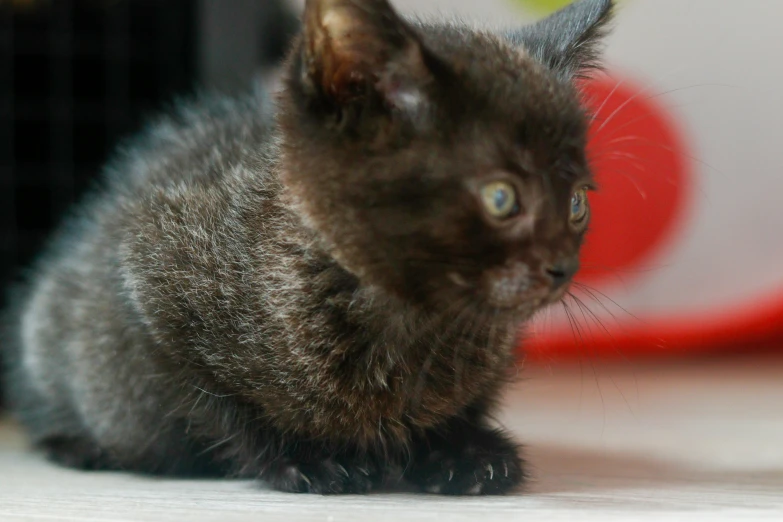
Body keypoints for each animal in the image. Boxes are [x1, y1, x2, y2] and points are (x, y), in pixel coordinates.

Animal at [3, 0, 612, 494]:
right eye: (502, 197)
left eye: (577, 202)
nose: (564, 266)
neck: (409, 315)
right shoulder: (150, 278)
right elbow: (216, 402)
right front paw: (307, 459)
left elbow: (467, 402)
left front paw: (461, 450)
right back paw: (78, 443)